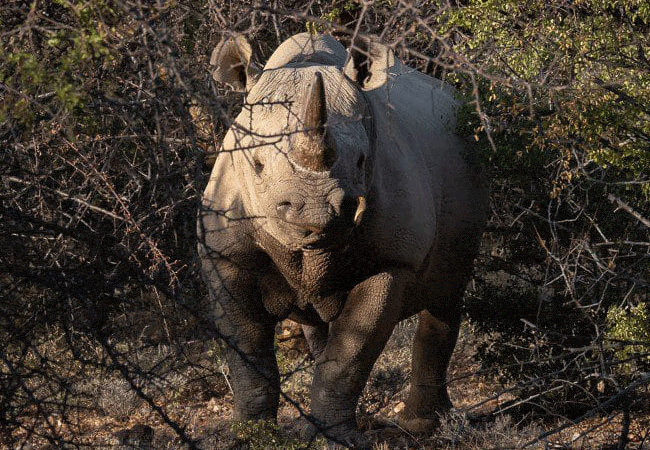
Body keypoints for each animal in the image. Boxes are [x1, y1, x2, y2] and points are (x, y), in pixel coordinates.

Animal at [198, 32, 487, 447]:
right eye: (257, 165)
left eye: (363, 160)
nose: (318, 214)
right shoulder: (224, 256)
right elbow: (247, 356)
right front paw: (249, 436)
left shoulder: (393, 260)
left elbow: (350, 357)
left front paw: (336, 439)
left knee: (445, 295)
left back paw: (424, 425)